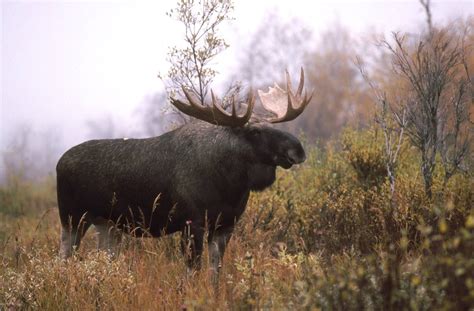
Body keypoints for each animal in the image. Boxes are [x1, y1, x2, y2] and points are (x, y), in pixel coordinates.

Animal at [55, 68, 312, 282]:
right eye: (255, 132)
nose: (298, 150)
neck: (231, 185)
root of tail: (59, 163)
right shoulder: (192, 222)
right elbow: (192, 274)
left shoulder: (225, 225)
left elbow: (215, 274)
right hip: (73, 218)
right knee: (62, 259)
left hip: (106, 224)